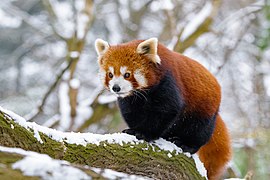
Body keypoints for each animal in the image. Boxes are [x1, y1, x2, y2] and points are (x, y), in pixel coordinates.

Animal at [95, 37, 232, 179]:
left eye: (127, 74)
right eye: (110, 74)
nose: (116, 88)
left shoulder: (167, 83)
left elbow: (166, 111)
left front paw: (145, 133)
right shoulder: (130, 100)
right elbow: (132, 113)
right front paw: (134, 129)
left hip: (203, 109)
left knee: (199, 130)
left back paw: (187, 144)